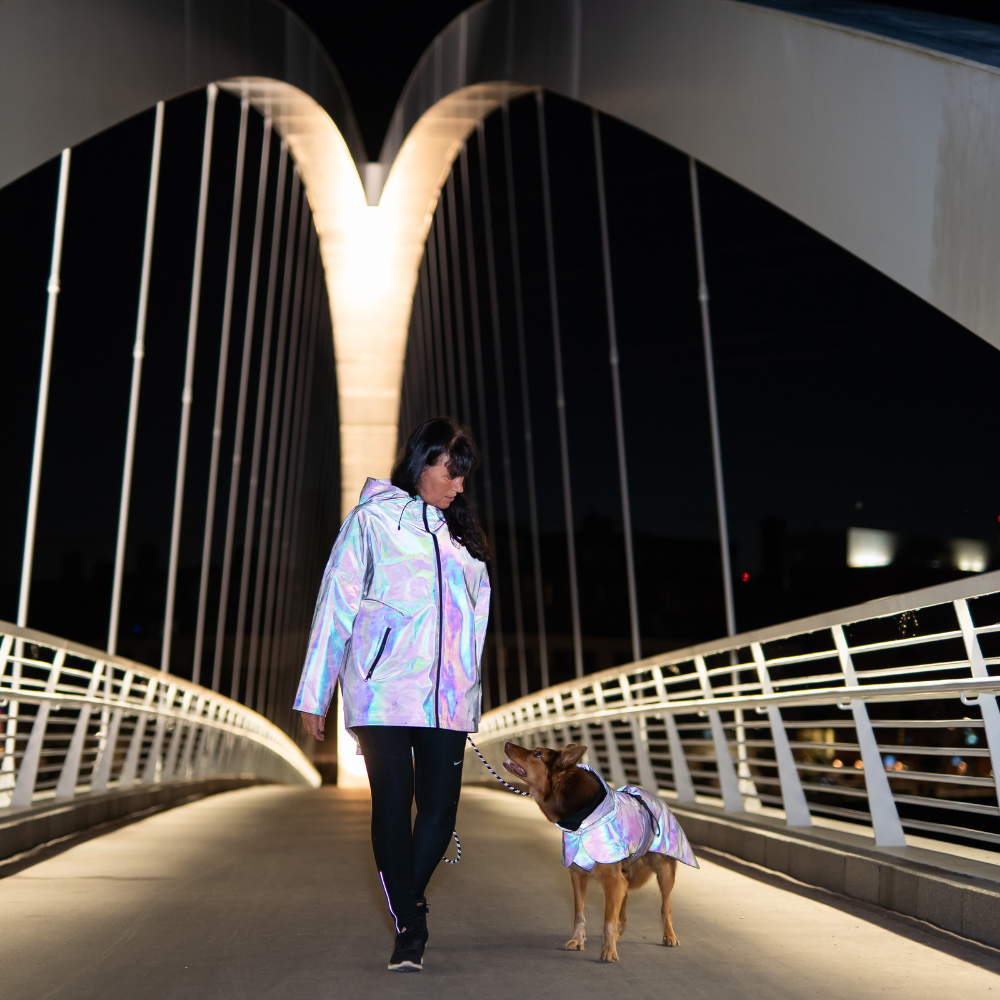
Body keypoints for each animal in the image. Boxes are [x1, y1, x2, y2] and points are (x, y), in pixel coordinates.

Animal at [508, 744, 680, 960]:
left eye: (538, 753)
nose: (507, 744)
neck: (583, 817)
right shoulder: (578, 874)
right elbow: (579, 913)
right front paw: (577, 940)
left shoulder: (612, 878)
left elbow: (608, 918)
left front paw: (608, 950)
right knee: (625, 894)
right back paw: (621, 926)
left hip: (664, 870)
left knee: (666, 906)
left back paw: (669, 935)